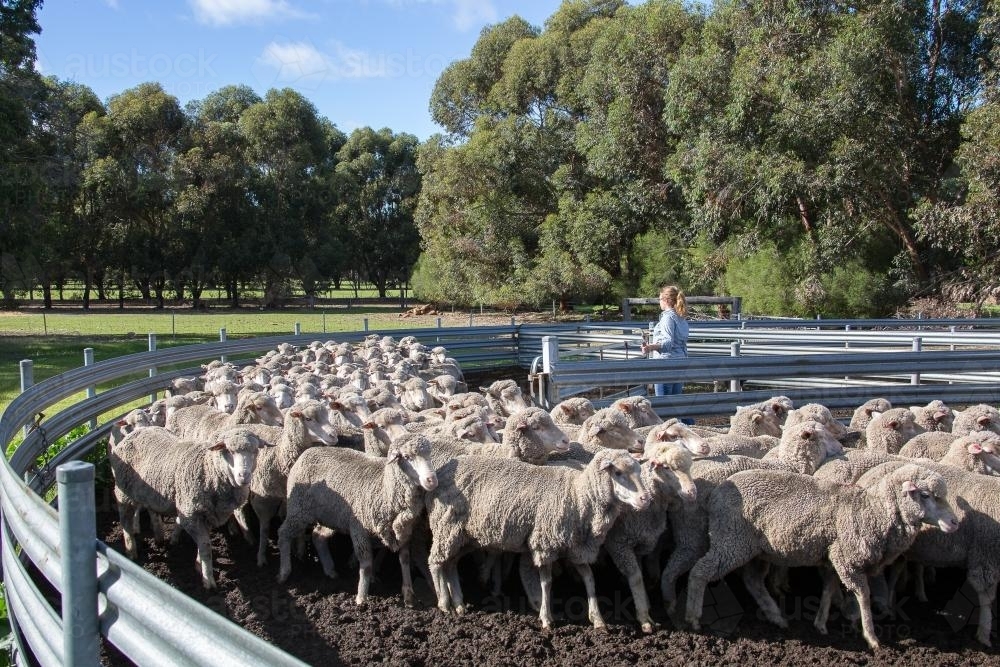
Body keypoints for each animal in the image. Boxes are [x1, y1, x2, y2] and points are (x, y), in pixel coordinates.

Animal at [110, 428, 270, 588]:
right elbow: (206, 546)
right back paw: (131, 550)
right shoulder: (190, 514)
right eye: (229, 450)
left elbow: (204, 542)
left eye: (256, 450)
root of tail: (134, 433)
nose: (244, 476)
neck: (208, 469)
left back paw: (159, 536)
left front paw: (199, 565)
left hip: (150, 493)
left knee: (151, 510)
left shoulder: (209, 514)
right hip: (123, 492)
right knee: (125, 521)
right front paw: (208, 580)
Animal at [276, 430, 436, 608]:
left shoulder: (404, 531)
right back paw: (284, 572)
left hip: (333, 515)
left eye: (429, 454)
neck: (384, 486)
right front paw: (361, 598)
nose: (432, 480)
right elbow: (366, 564)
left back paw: (330, 570)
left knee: (318, 536)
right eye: (407, 457)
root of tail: (308, 452)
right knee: (283, 534)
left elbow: (405, 559)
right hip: (298, 509)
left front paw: (408, 594)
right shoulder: (359, 529)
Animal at [426, 452, 652, 628]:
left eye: (639, 471)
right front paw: (546, 618)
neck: (578, 496)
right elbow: (546, 583)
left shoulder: (574, 548)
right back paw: (444, 604)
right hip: (446, 527)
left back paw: (459, 604)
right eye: (618, 473)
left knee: (451, 563)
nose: (646, 499)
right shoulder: (545, 544)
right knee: (435, 563)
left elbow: (589, 579)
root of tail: (442, 471)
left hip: (464, 537)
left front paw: (597, 619)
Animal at [684, 462, 956, 648]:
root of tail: (716, 493)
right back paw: (693, 617)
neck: (872, 510)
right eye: (926, 495)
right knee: (700, 571)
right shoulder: (848, 558)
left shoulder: (834, 556)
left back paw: (776, 617)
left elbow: (828, 588)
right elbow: (863, 594)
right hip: (731, 540)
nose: (954, 522)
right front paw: (871, 636)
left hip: (756, 550)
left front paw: (821, 623)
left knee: (753, 581)